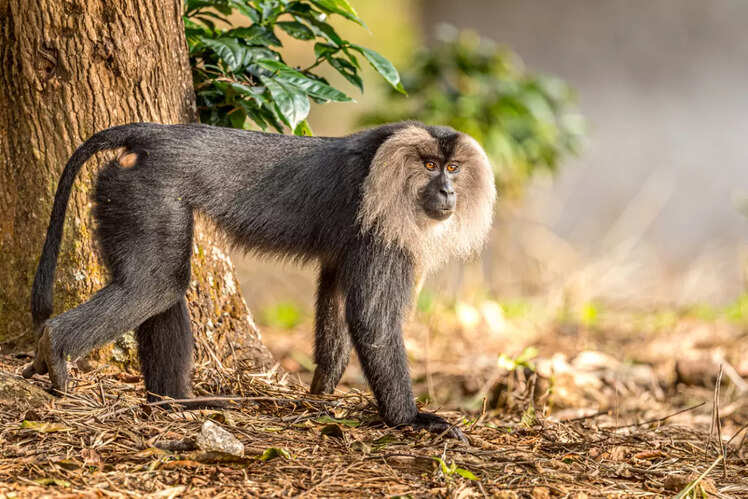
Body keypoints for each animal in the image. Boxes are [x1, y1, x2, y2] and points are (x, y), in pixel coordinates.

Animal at [22, 121, 496, 440]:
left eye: (454, 167)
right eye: (430, 165)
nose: (448, 192)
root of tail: (151, 135)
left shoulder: (349, 246)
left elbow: (336, 295)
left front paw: (320, 393)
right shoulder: (383, 232)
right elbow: (373, 320)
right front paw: (410, 420)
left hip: (119, 189)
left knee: (160, 285)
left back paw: (175, 401)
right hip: (146, 192)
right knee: (156, 284)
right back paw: (55, 347)